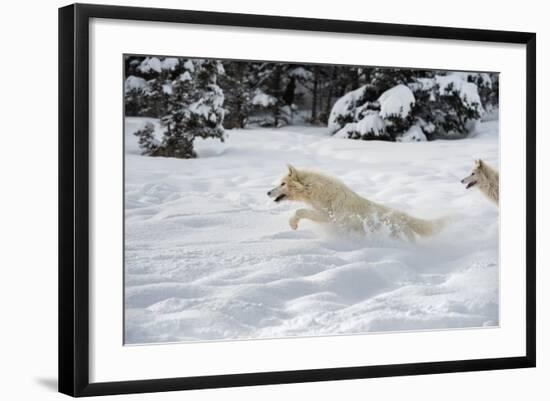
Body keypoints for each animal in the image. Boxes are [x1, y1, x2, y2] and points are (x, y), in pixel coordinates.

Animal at [268, 163, 448, 239]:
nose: (267, 192)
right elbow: (301, 211)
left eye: (282, 184)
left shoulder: (330, 218)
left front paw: (293, 224)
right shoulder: (323, 216)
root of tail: (403, 216)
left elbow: (299, 211)